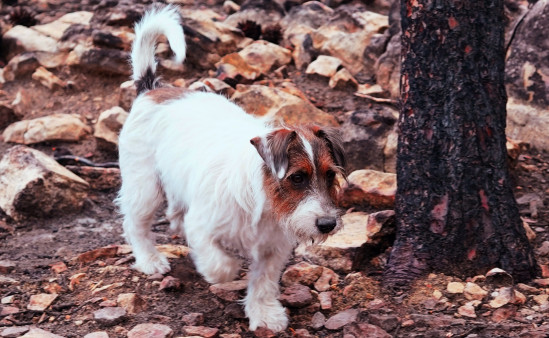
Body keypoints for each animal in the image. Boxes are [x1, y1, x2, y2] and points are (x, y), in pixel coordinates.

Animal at [117, 4, 344, 332]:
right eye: (298, 177)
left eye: (330, 175)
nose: (327, 224)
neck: (263, 204)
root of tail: (150, 89)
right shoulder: (202, 226)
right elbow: (219, 264)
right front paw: (227, 269)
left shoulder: (274, 249)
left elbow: (263, 282)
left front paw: (264, 314)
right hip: (144, 186)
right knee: (135, 224)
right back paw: (150, 259)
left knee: (173, 214)